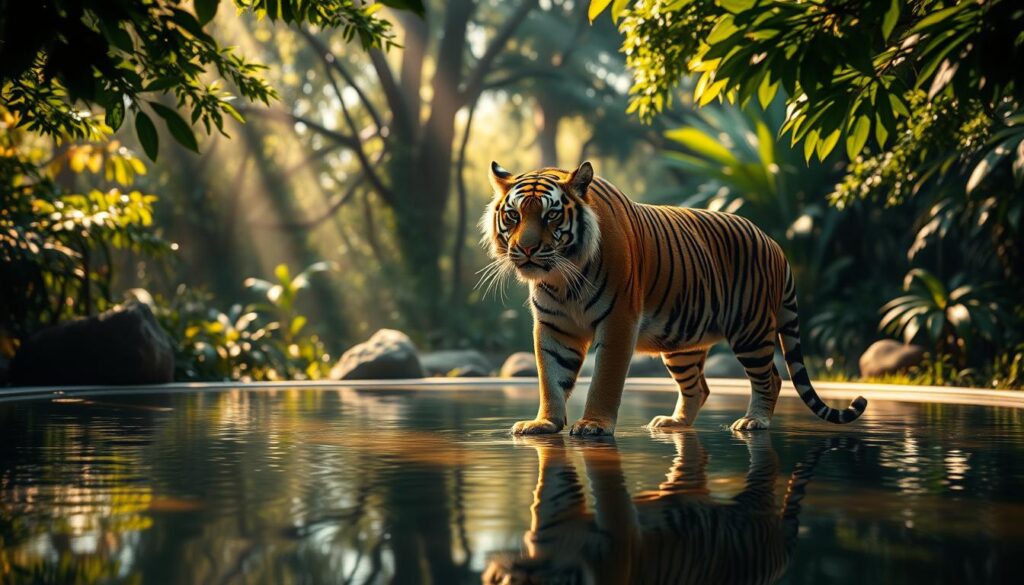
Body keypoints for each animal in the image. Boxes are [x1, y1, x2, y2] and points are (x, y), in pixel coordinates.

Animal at [480, 161, 867, 434]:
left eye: (551, 215)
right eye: (513, 215)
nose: (526, 249)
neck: (562, 279)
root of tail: (774, 243)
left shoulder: (619, 320)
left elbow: (604, 379)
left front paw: (593, 425)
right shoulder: (553, 325)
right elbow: (551, 377)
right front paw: (544, 423)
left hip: (750, 329)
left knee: (770, 378)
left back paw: (754, 422)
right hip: (682, 343)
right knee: (700, 388)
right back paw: (675, 423)